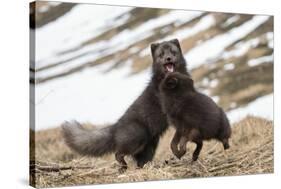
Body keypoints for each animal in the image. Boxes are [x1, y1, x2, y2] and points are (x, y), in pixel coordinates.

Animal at [61, 38, 188, 171]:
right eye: (161, 54)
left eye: (173, 52)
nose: (168, 58)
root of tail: (116, 127)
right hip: (138, 136)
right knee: (118, 153)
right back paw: (124, 166)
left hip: (150, 146)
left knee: (139, 161)